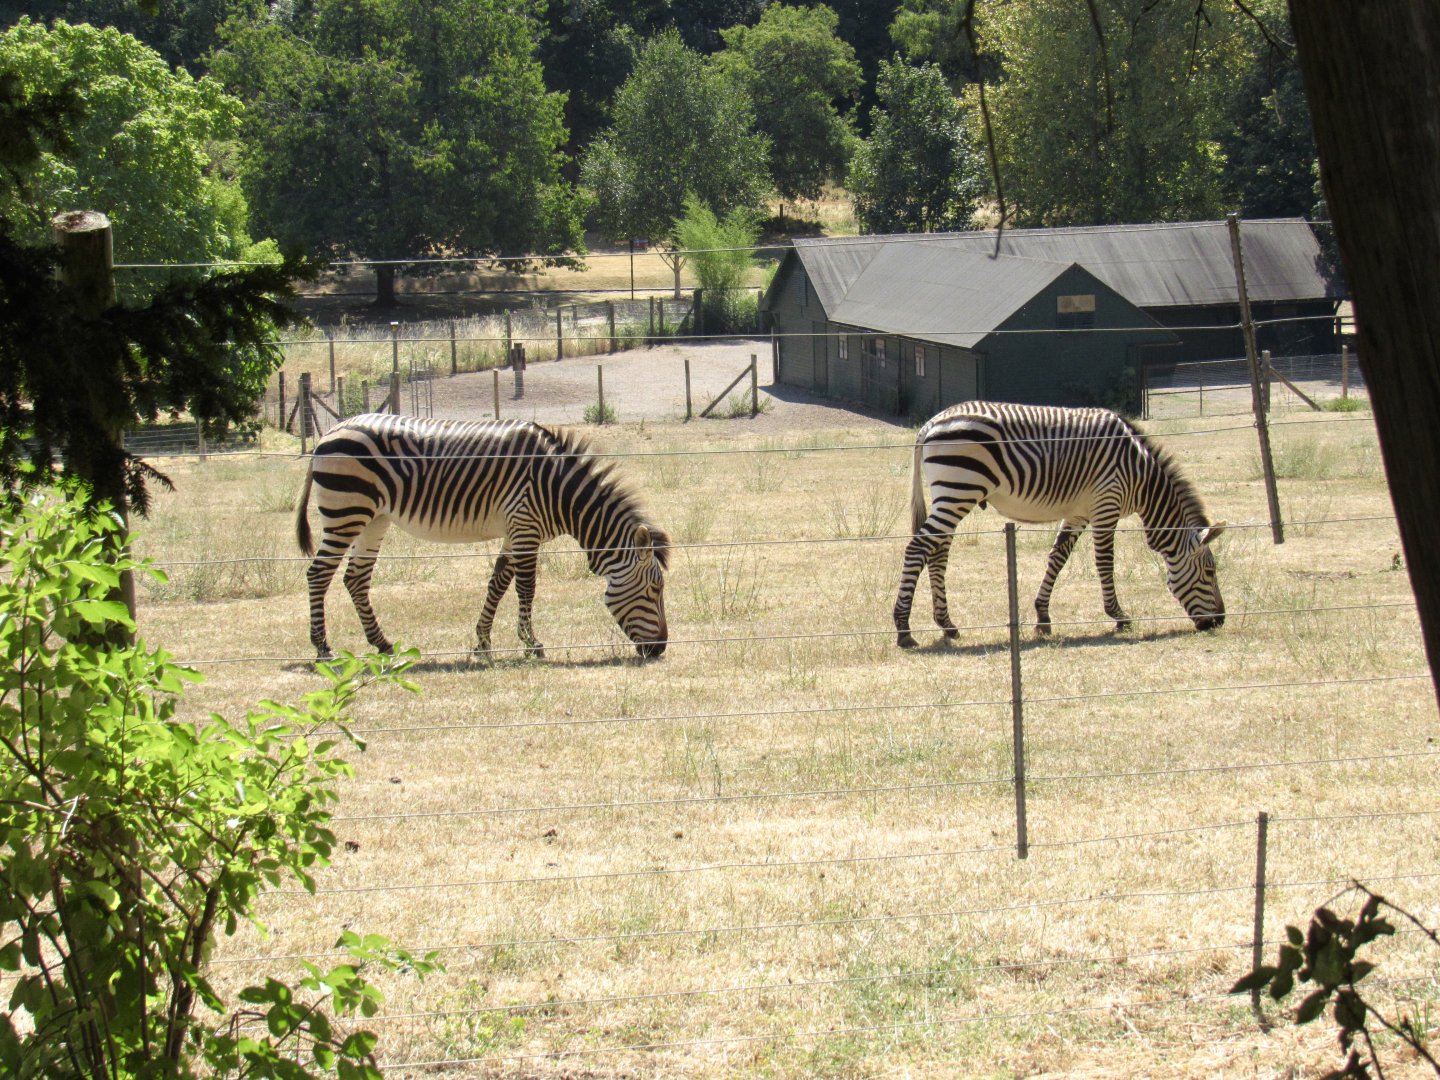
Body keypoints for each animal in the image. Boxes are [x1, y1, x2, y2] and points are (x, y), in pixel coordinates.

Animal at [294, 413, 670, 661]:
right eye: (655, 590)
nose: (660, 649)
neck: (559, 490)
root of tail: (332, 431)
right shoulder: (525, 525)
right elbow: (526, 587)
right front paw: (531, 644)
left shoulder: (514, 529)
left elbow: (498, 583)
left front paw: (483, 641)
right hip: (347, 511)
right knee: (319, 574)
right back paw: (322, 647)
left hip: (374, 518)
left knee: (355, 579)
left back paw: (382, 644)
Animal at [893, 401, 1225, 648]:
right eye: (1210, 571)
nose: (1220, 621)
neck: (1142, 477)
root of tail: (931, 423)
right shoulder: (1107, 503)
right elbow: (1105, 562)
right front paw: (1118, 616)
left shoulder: (1079, 512)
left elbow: (1057, 557)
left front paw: (1043, 617)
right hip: (958, 490)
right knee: (917, 548)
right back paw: (903, 629)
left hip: (951, 495)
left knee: (937, 553)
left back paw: (947, 625)